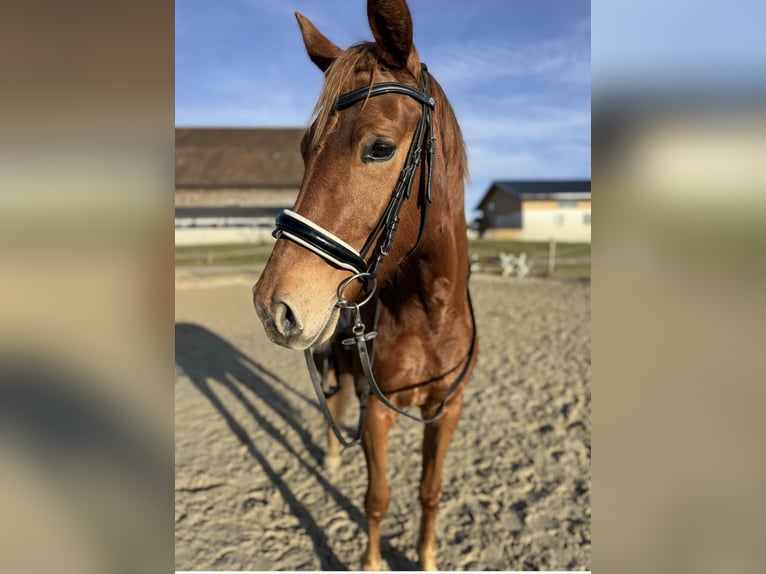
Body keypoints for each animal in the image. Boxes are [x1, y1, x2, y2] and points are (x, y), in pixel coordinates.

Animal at [255, 0, 476, 572]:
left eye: (379, 148)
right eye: (304, 149)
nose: (272, 305)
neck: (430, 314)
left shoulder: (447, 411)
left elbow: (429, 492)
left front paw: (427, 558)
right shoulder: (378, 411)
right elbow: (377, 498)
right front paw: (373, 562)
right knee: (332, 403)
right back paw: (334, 457)